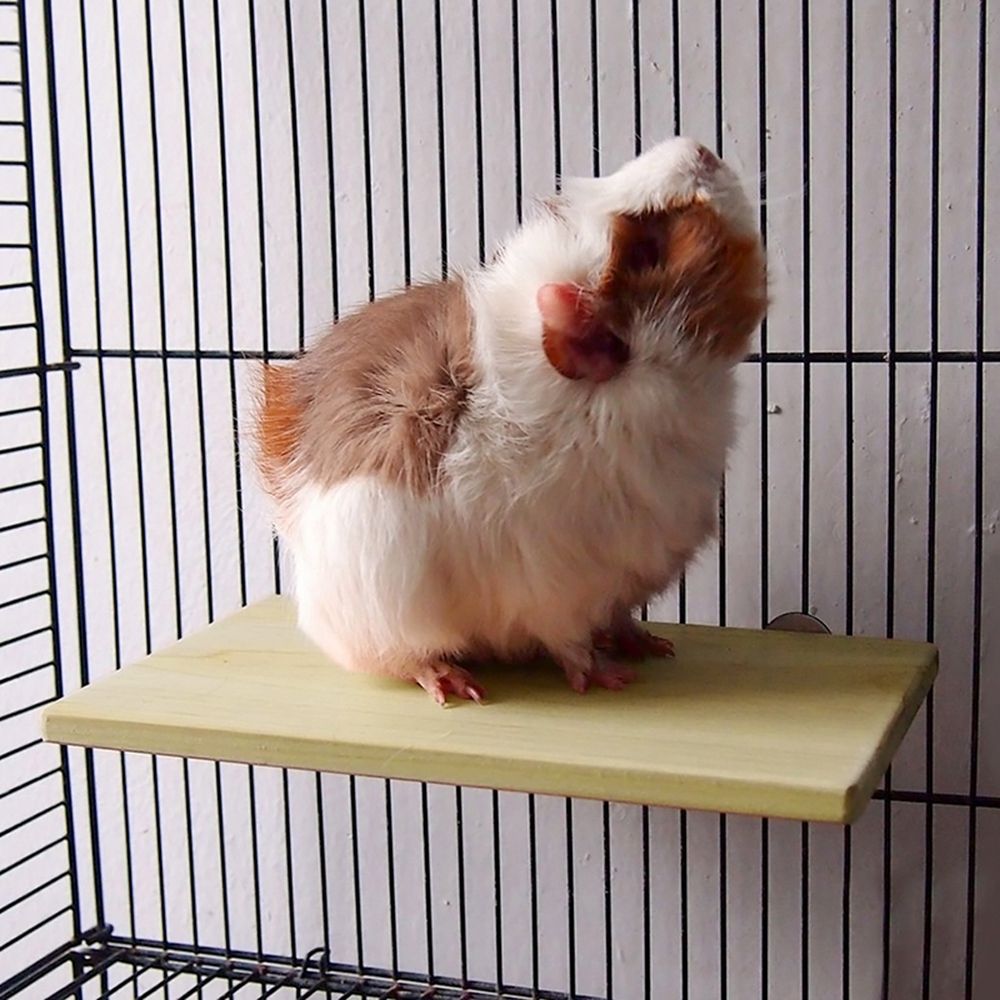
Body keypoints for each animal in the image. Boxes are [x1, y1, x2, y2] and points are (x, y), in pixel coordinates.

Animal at [255, 137, 766, 704]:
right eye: (652, 247)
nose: (699, 148)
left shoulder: (618, 583)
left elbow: (619, 616)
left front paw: (652, 646)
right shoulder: (557, 592)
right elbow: (571, 644)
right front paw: (610, 677)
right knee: (398, 656)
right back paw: (453, 685)